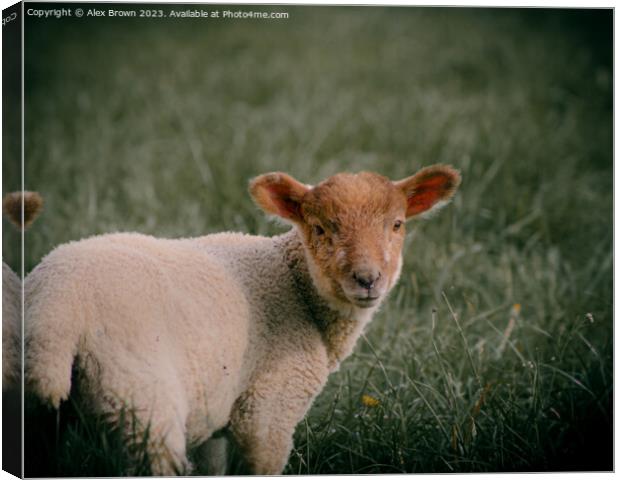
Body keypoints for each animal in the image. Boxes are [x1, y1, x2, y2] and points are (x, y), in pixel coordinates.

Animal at [24, 167, 460, 474]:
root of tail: (56, 306)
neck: (295, 285)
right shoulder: (269, 406)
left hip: (39, 410)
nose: (368, 279)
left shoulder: (218, 414)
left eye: (397, 224)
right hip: (139, 397)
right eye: (320, 228)